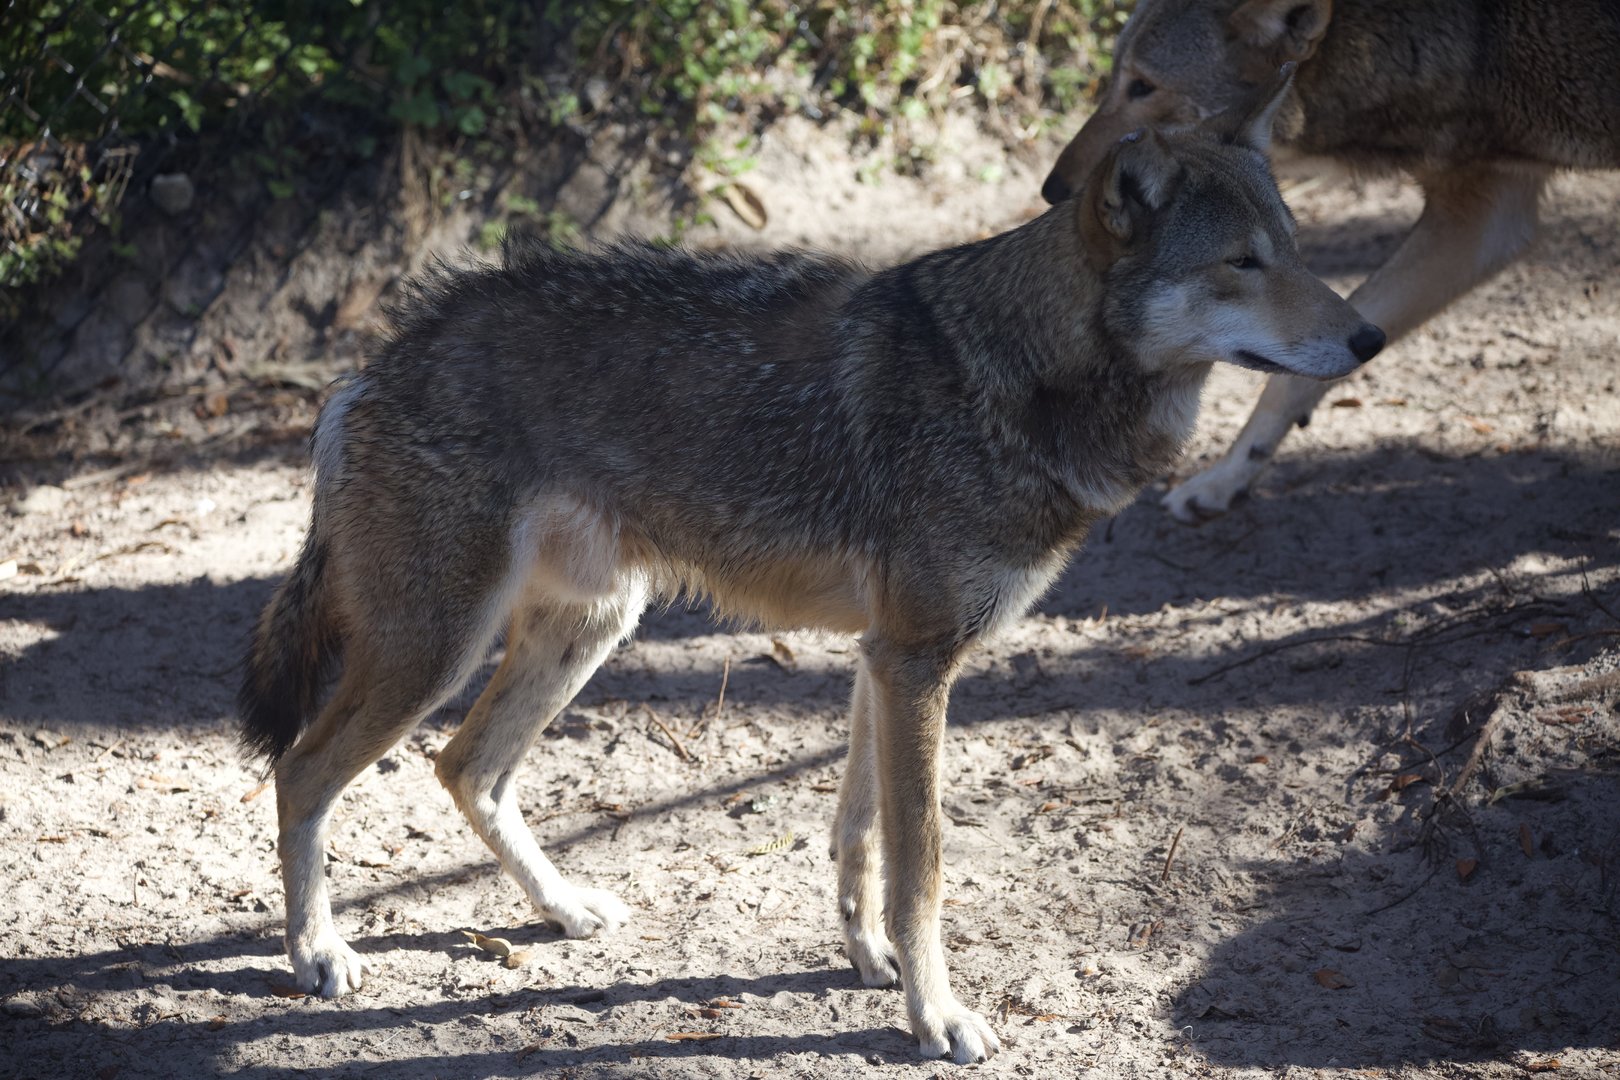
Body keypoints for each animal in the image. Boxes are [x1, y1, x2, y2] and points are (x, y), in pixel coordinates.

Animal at [239, 72, 1380, 1063]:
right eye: (1242, 263)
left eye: (1291, 249)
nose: (1370, 335)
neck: (1017, 373)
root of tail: (382, 359)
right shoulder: (918, 661)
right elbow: (923, 863)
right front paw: (937, 1018)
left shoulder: (888, 657)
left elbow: (861, 836)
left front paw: (871, 961)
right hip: (440, 650)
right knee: (303, 771)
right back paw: (317, 954)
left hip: (586, 630)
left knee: (465, 767)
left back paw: (561, 909)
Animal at [1042, 0, 1620, 524]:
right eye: (1118, 77)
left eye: (1142, 85)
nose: (1052, 190)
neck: (1475, 35)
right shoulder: (1489, 213)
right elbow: (1303, 367)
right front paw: (1225, 478)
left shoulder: (1474, 209)